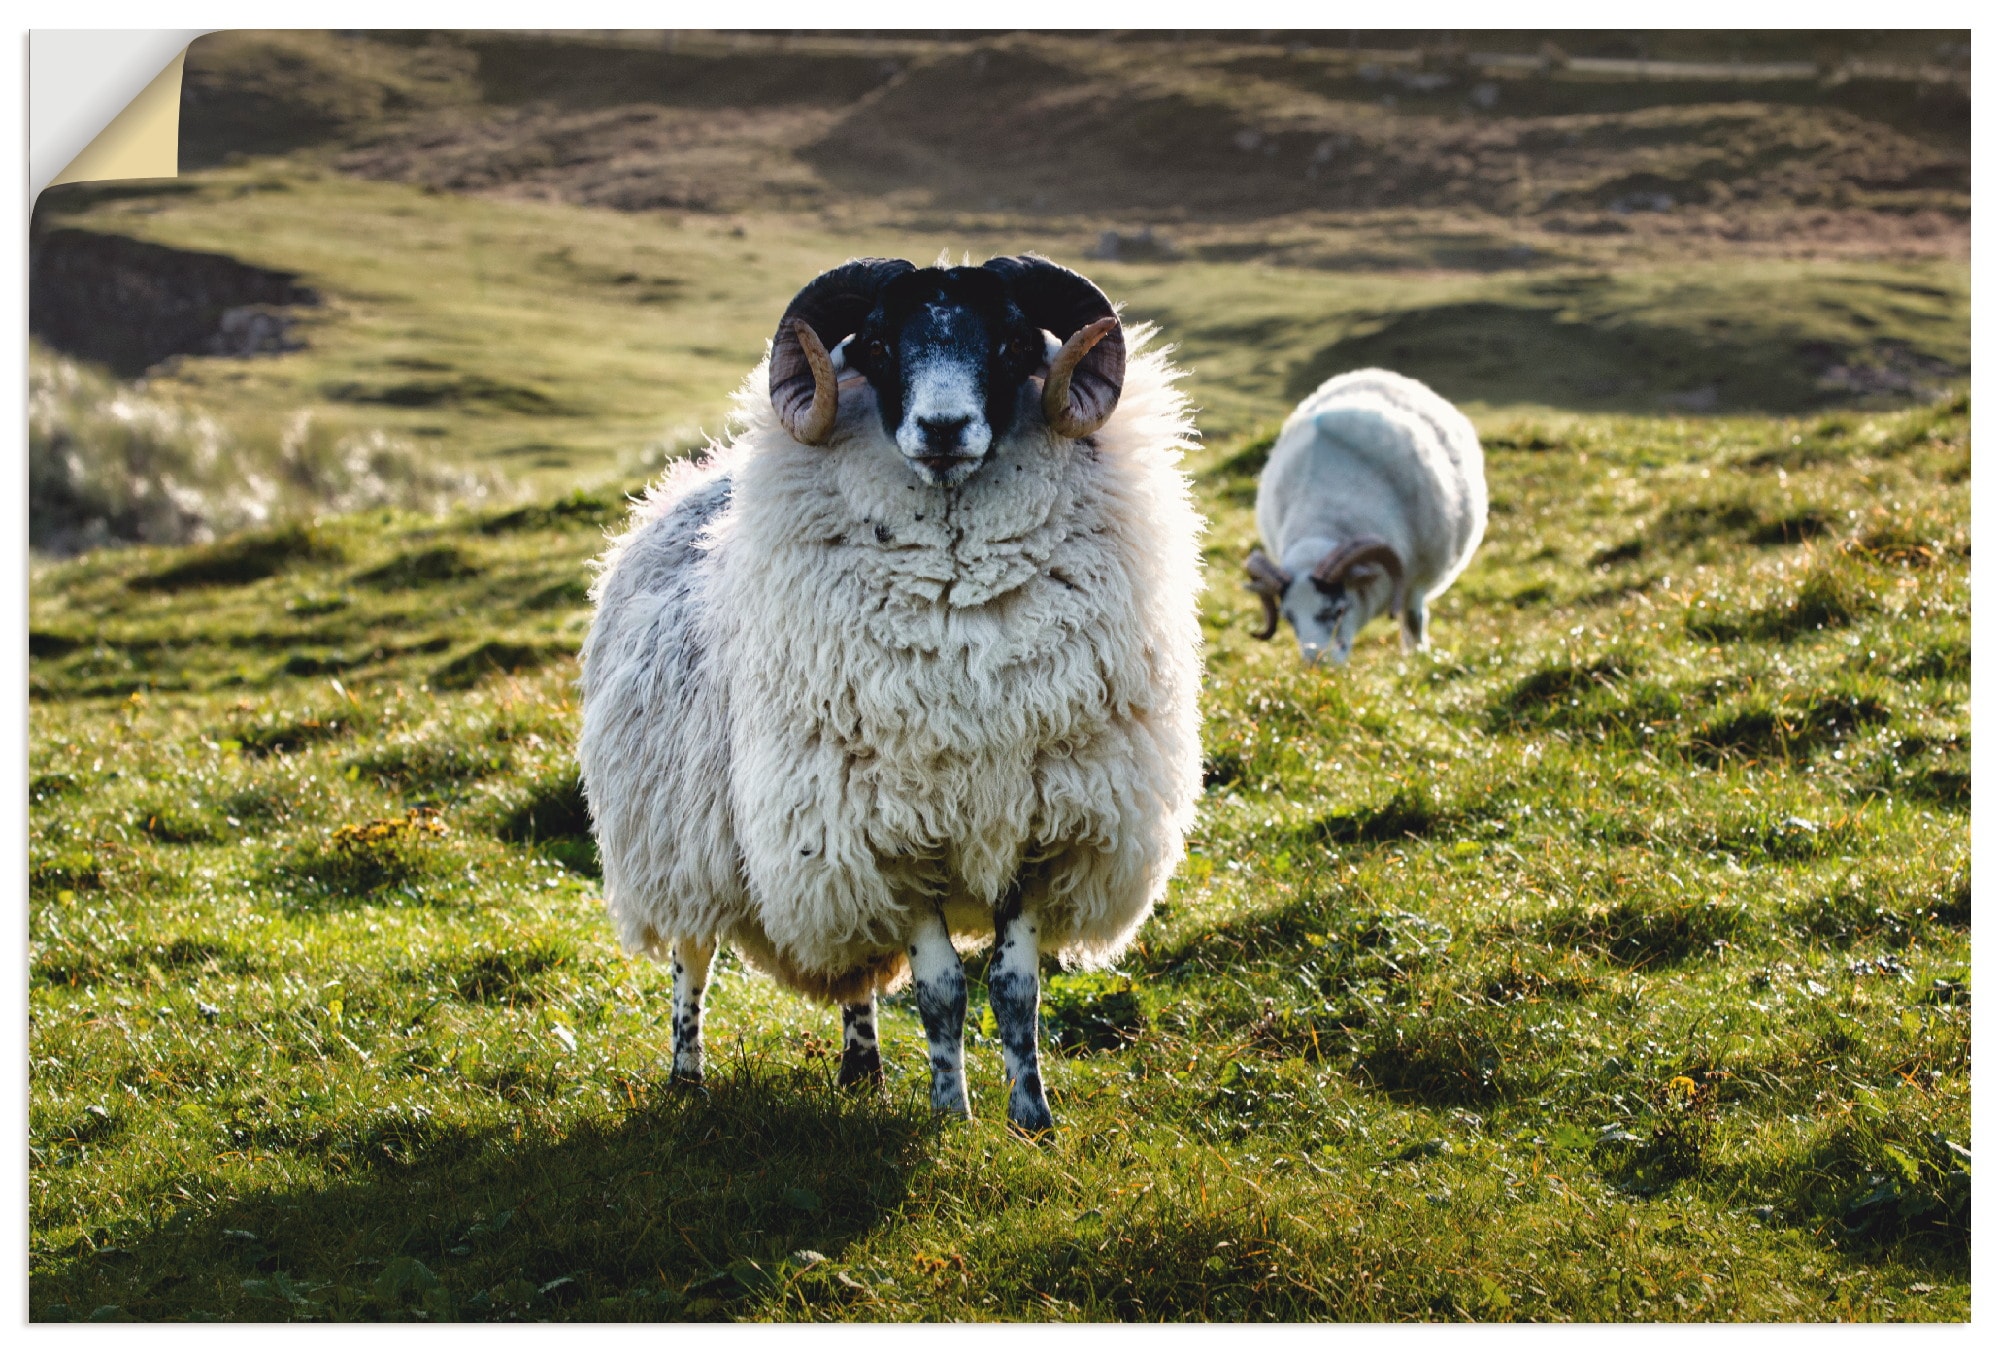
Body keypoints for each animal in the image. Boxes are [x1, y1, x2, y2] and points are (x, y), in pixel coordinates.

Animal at [577, 255, 1205, 1134]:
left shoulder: (1043, 830)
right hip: (682, 839)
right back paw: (686, 1078)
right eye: (875, 344)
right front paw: (952, 1116)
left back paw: (861, 1069)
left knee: (859, 973)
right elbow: (941, 992)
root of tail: (681, 486)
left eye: (1014, 342)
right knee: (691, 963)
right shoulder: (887, 837)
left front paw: (1032, 1118)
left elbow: (1015, 989)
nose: (942, 428)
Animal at [1243, 368, 1486, 665]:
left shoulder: (1416, 577)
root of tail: (1372, 372)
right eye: (1289, 617)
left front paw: (1417, 657)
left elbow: (1413, 619)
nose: (1317, 662)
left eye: (1338, 610)